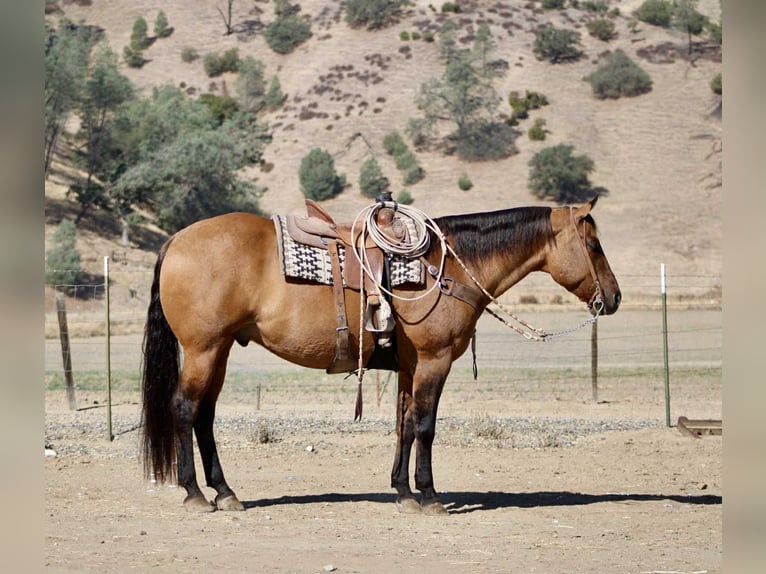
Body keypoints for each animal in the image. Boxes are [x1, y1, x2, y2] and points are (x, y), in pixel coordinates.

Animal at [141, 197, 620, 515]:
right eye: (595, 245)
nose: (614, 297)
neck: (448, 267)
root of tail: (176, 240)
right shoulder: (433, 361)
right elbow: (425, 426)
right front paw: (429, 496)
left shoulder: (410, 367)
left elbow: (404, 426)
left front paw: (403, 492)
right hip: (203, 350)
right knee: (185, 409)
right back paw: (195, 494)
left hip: (219, 350)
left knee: (204, 416)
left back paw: (225, 492)